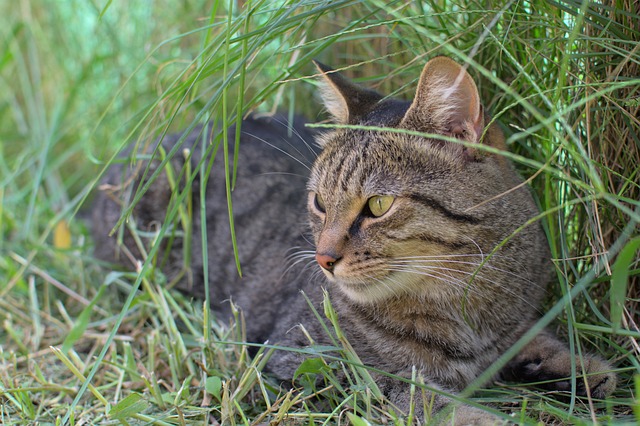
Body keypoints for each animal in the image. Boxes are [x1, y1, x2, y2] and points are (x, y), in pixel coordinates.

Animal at [92, 57, 616, 426]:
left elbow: (535, 339)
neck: (463, 305)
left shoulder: (514, 323)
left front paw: (576, 368)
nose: (323, 258)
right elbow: (419, 400)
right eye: (319, 202)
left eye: (378, 205)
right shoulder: (302, 367)